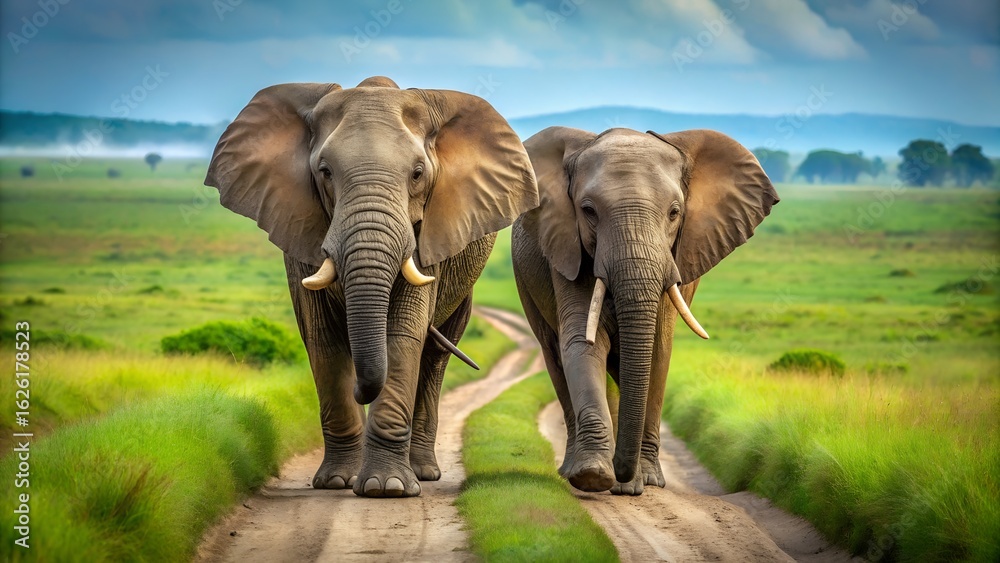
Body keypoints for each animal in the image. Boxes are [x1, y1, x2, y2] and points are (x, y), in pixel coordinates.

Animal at [205, 76, 537, 497]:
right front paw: (336, 482)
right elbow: (323, 338)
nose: (362, 390)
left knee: (434, 358)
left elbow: (403, 334)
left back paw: (423, 472)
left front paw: (386, 488)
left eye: (417, 173)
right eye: (325, 172)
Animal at [512, 126, 778, 495]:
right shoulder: (568, 249)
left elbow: (657, 350)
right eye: (588, 211)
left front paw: (638, 482)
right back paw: (576, 471)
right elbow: (583, 341)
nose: (620, 474)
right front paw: (594, 476)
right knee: (553, 354)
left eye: (674, 213)